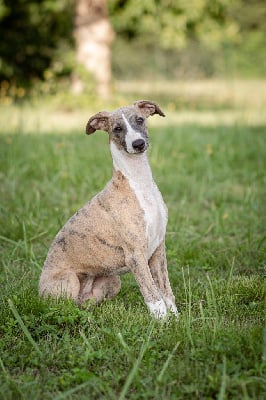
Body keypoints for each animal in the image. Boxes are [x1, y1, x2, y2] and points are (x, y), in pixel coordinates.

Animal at [38, 100, 178, 318]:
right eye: (117, 129)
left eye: (140, 120)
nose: (138, 144)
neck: (139, 184)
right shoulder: (135, 255)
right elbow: (153, 294)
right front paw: (162, 322)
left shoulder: (158, 250)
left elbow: (166, 290)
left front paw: (177, 319)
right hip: (68, 282)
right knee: (62, 306)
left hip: (112, 281)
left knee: (86, 303)